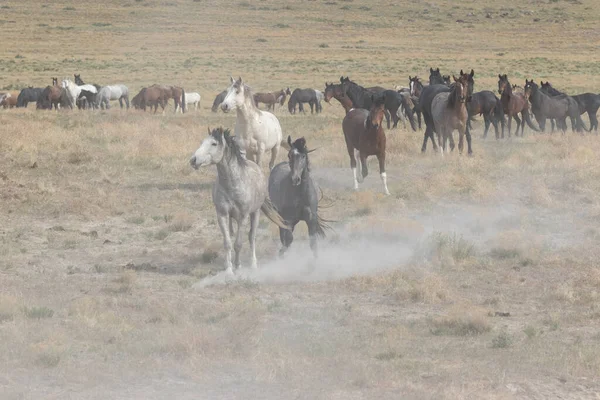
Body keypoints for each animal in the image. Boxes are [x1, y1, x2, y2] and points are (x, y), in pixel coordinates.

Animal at [190, 126, 288, 274]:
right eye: (202, 142)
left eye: (214, 143)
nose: (193, 160)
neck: (232, 184)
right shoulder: (222, 215)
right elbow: (227, 243)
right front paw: (229, 269)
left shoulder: (243, 217)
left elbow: (238, 243)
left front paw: (238, 266)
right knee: (233, 234)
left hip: (255, 214)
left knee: (251, 237)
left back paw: (253, 264)